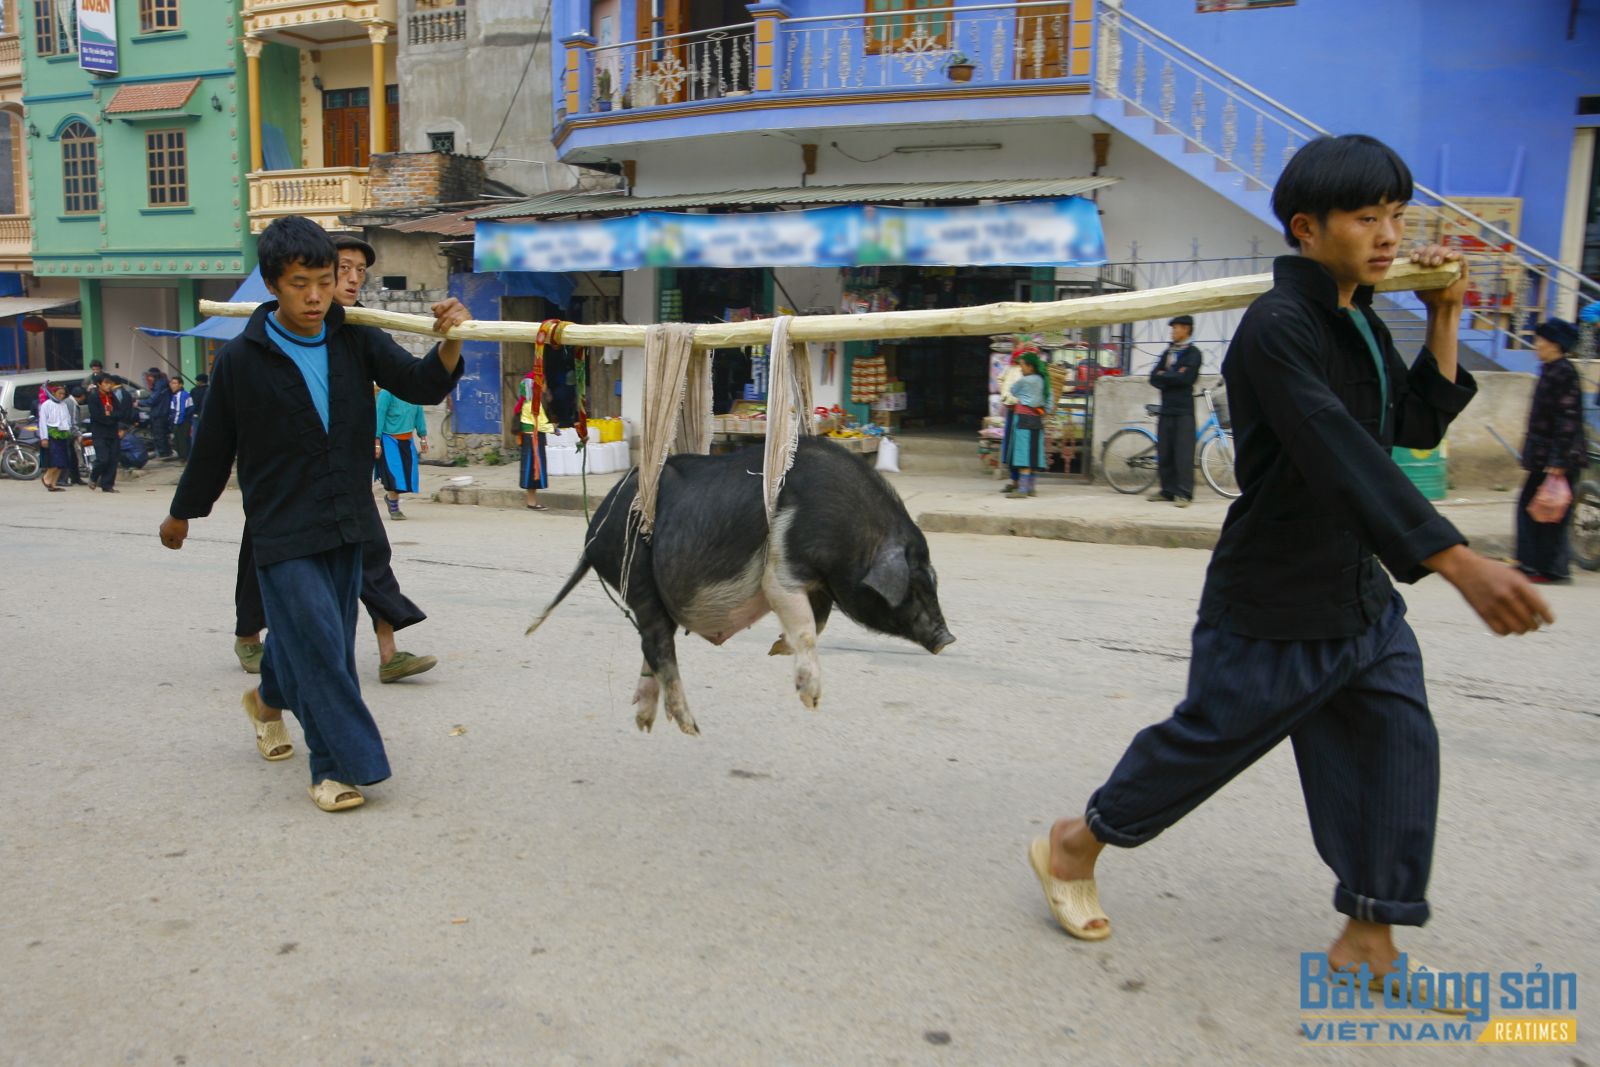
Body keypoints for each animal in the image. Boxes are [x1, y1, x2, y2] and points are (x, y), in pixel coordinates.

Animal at [528, 438, 947, 739]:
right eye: (915, 585)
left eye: (933, 580)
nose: (948, 638)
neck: (852, 534)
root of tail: (591, 536)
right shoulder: (781, 570)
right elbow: (804, 627)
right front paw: (811, 699)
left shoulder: (820, 584)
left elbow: (819, 621)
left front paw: (776, 648)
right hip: (638, 577)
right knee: (657, 645)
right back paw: (691, 728)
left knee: (650, 648)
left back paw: (646, 723)